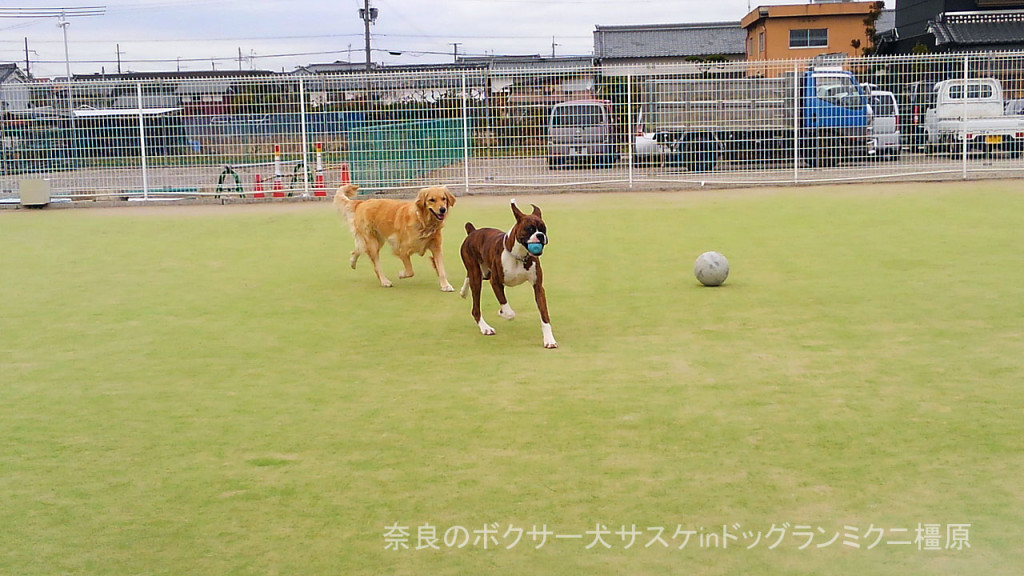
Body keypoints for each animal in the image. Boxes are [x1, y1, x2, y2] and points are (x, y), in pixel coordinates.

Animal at [460, 196, 557, 348]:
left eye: (544, 229)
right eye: (529, 229)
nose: (540, 235)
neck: (519, 256)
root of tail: (473, 231)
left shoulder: (538, 287)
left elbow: (544, 316)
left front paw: (549, 340)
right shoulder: (496, 282)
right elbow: (508, 309)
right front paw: (503, 312)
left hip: (484, 273)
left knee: (469, 276)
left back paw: (463, 292)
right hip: (477, 276)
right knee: (475, 308)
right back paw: (485, 328)